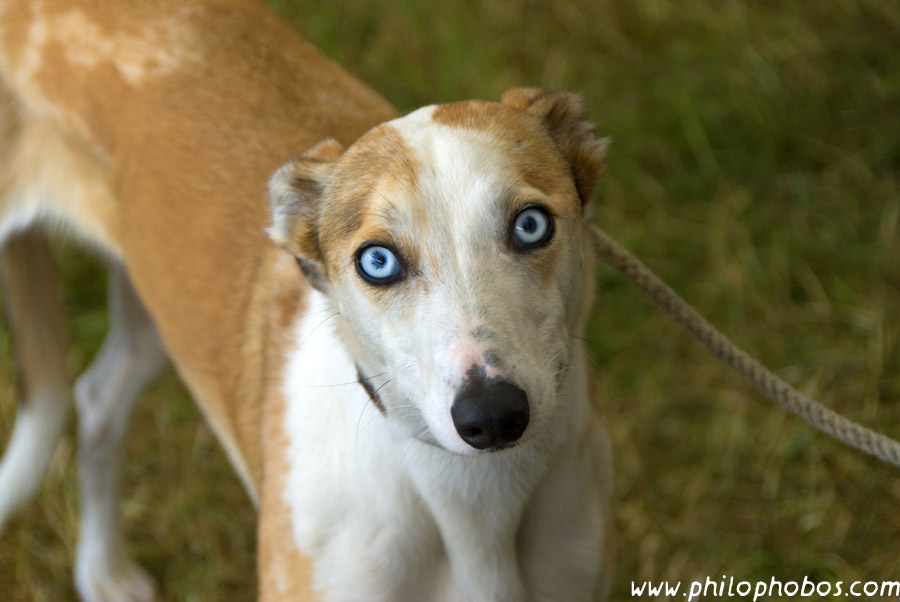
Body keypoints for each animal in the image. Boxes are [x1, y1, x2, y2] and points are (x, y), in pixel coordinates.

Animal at [0, 1, 616, 600]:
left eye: (531, 225)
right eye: (377, 261)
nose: (491, 417)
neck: (472, 503)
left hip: (161, 310)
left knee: (98, 398)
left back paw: (102, 570)